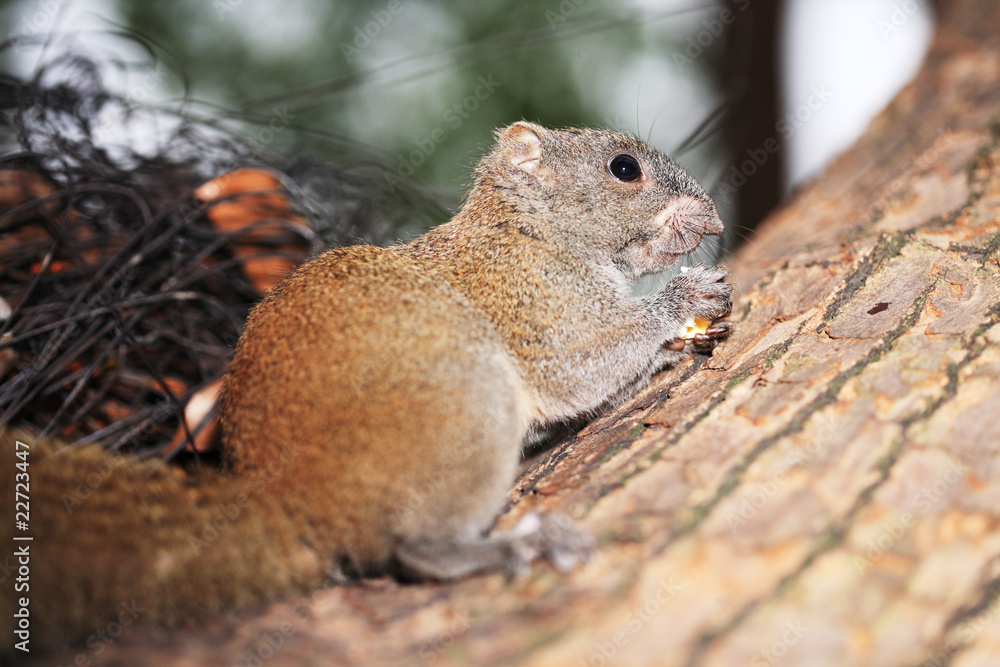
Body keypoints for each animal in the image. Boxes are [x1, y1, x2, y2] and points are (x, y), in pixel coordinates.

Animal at [0, 122, 736, 656]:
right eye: (623, 168)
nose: (714, 219)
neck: (527, 230)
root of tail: (290, 503)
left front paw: (679, 343)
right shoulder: (531, 306)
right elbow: (579, 369)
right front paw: (681, 304)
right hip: (461, 402)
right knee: (416, 547)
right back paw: (509, 544)